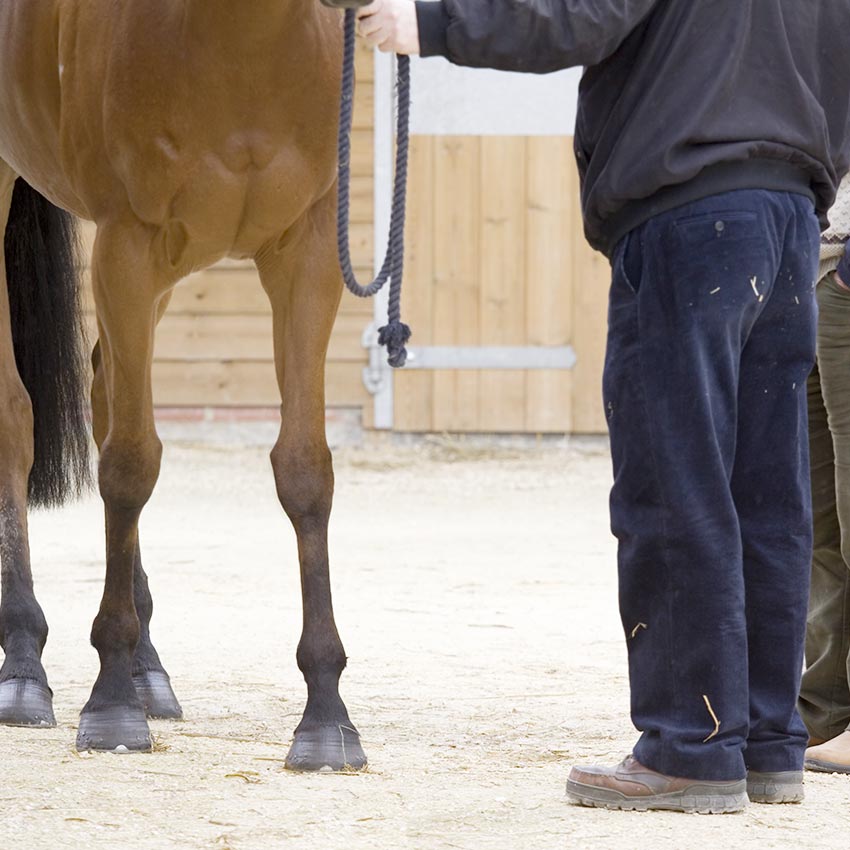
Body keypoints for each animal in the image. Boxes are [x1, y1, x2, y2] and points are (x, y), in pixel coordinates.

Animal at [0, 1, 362, 768]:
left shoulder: (308, 251)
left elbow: (304, 473)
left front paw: (325, 714)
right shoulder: (126, 248)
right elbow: (130, 467)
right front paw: (109, 703)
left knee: (104, 393)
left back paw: (147, 670)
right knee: (16, 416)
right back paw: (24, 663)